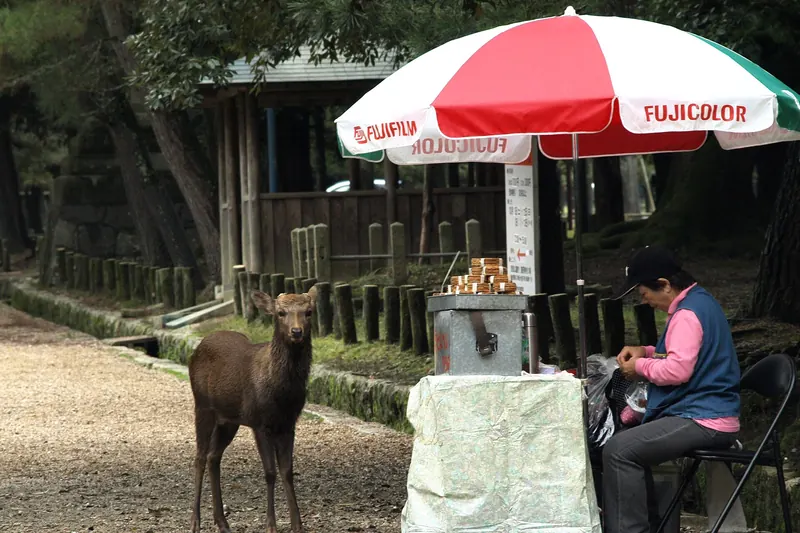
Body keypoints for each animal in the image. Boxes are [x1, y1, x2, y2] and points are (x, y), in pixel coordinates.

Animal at [188, 286, 317, 533]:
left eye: (309, 312)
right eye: (280, 312)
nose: (297, 332)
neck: (281, 394)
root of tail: (198, 346)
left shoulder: (289, 424)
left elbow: (287, 472)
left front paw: (298, 525)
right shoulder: (260, 422)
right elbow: (270, 473)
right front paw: (271, 526)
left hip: (229, 421)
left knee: (213, 456)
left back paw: (222, 522)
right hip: (202, 405)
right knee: (199, 457)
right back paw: (195, 522)